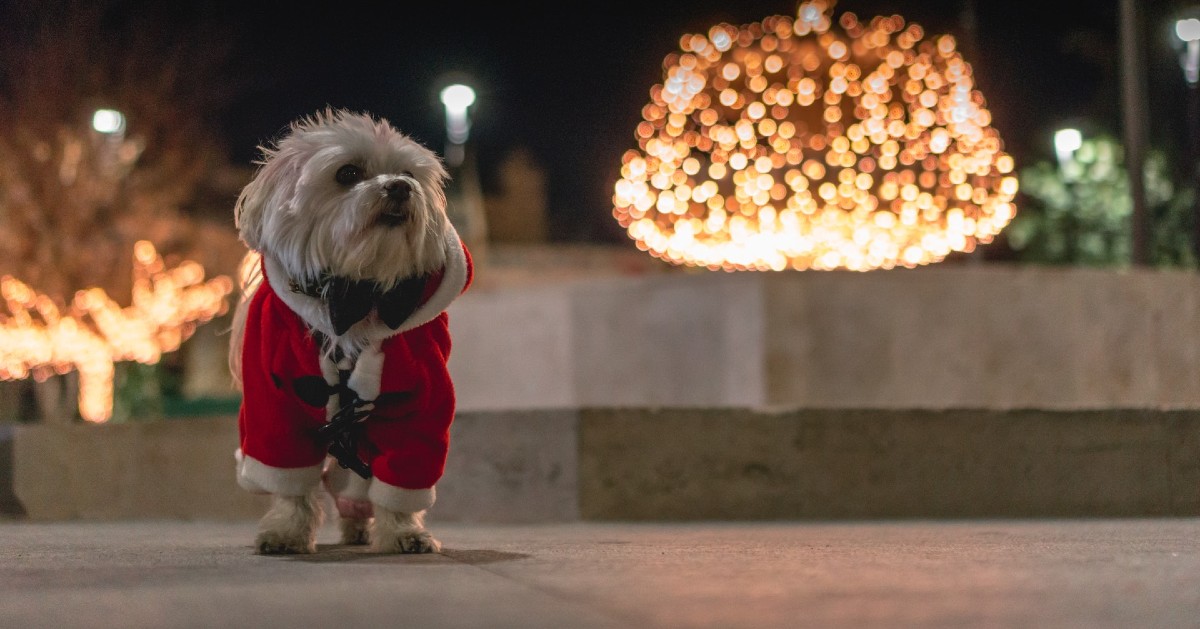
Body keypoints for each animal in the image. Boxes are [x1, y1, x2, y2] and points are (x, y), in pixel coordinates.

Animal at [226, 110, 470, 552]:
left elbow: (405, 470)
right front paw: (287, 531)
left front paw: (404, 531)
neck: (357, 293)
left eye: (408, 173)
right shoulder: (275, 405)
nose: (400, 187)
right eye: (348, 173)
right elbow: (288, 477)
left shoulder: (420, 401)